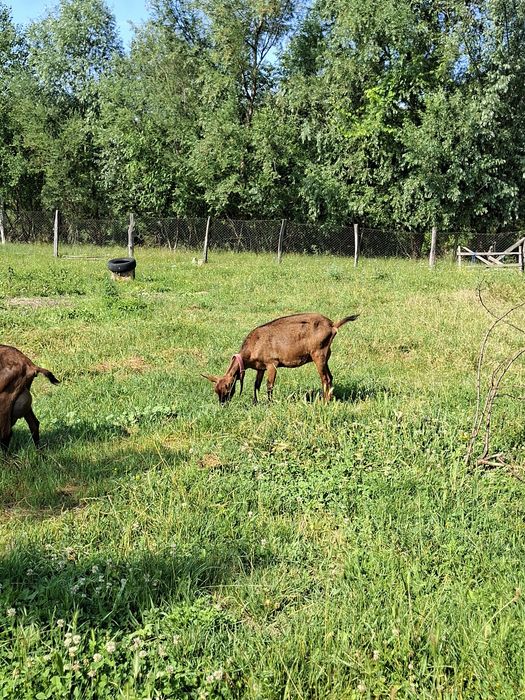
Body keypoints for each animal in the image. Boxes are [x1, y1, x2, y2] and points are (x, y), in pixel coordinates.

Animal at [203, 313, 359, 404]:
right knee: (330, 377)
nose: (223, 404)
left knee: (325, 378)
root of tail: (333, 326)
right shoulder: (261, 368)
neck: (253, 345)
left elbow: (269, 385)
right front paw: (256, 402)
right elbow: (256, 385)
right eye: (216, 390)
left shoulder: (272, 364)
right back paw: (330, 399)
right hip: (325, 357)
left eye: (228, 388)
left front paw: (270, 403)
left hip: (318, 354)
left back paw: (324, 402)